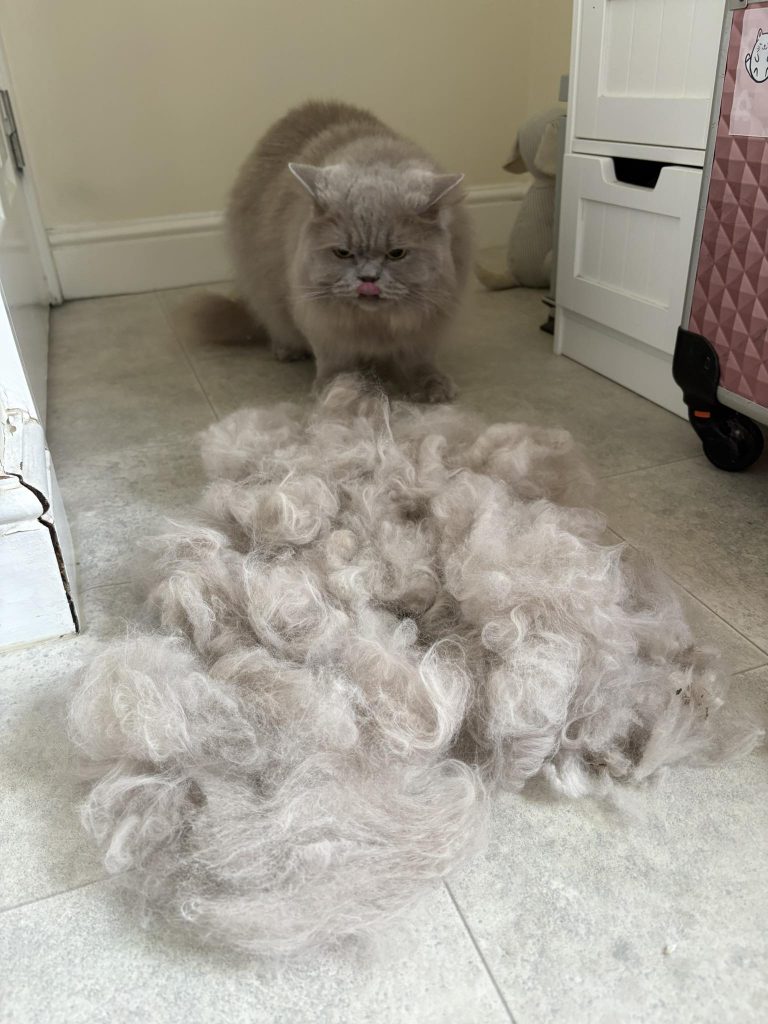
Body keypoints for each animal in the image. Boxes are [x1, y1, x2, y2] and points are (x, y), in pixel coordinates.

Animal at [192, 100, 471, 402]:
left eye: (396, 254)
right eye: (343, 253)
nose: (368, 279)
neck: (375, 324)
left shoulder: (430, 317)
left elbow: (419, 357)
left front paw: (432, 384)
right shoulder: (320, 318)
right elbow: (334, 358)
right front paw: (334, 387)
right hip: (261, 282)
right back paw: (287, 349)